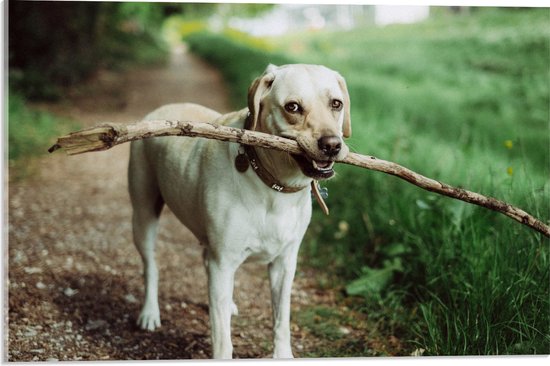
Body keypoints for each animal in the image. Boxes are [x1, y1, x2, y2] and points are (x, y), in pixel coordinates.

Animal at [128, 63, 354, 358]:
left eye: (336, 104)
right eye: (292, 107)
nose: (332, 145)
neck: (273, 186)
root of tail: (158, 110)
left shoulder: (284, 263)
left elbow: (281, 320)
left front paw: (283, 355)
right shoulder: (223, 262)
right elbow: (223, 338)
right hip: (143, 215)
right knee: (151, 266)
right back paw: (149, 313)